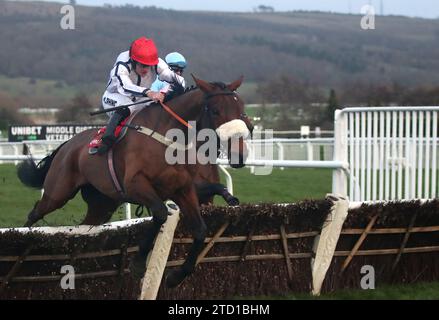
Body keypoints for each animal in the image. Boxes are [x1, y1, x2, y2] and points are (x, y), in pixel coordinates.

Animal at [17, 75, 253, 288]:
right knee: (35, 213)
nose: (239, 154)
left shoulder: (184, 189)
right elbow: (160, 213)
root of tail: (67, 145)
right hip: (58, 192)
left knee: (85, 226)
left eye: (241, 110)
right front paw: (139, 264)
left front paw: (176, 276)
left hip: (102, 204)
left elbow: (201, 230)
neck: (168, 139)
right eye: (215, 111)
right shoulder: (135, 185)